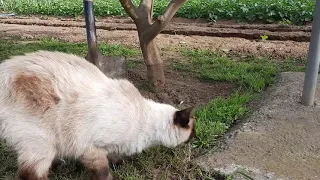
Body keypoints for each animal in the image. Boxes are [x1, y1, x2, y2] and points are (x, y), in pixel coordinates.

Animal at [0, 50, 196, 180]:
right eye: (192, 131)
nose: (195, 137)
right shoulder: (91, 149)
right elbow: (103, 172)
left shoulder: (110, 146)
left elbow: (114, 157)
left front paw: (119, 163)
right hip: (41, 143)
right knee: (30, 174)